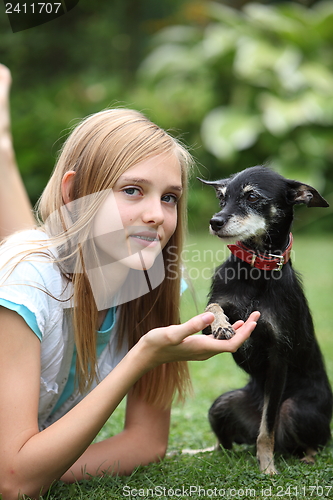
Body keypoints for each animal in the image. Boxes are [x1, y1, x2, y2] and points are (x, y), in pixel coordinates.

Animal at [198, 166, 330, 474]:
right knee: (225, 444)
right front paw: (222, 325)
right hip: (221, 405)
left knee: (310, 443)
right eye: (222, 198)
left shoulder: (278, 358)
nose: (215, 222)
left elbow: (266, 429)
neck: (255, 273)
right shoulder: (216, 309)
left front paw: (267, 467)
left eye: (252, 196)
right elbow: (213, 307)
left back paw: (304, 457)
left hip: (296, 411)